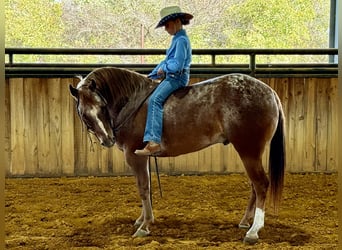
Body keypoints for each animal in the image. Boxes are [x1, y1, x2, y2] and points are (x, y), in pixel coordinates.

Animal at [69, 66, 286, 244]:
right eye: (84, 113)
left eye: (102, 106)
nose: (108, 139)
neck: (132, 103)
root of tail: (270, 92)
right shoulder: (144, 157)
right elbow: (146, 188)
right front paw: (142, 219)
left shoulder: (135, 156)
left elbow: (143, 188)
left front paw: (145, 226)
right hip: (250, 152)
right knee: (254, 186)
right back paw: (245, 222)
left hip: (249, 150)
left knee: (260, 184)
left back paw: (253, 231)